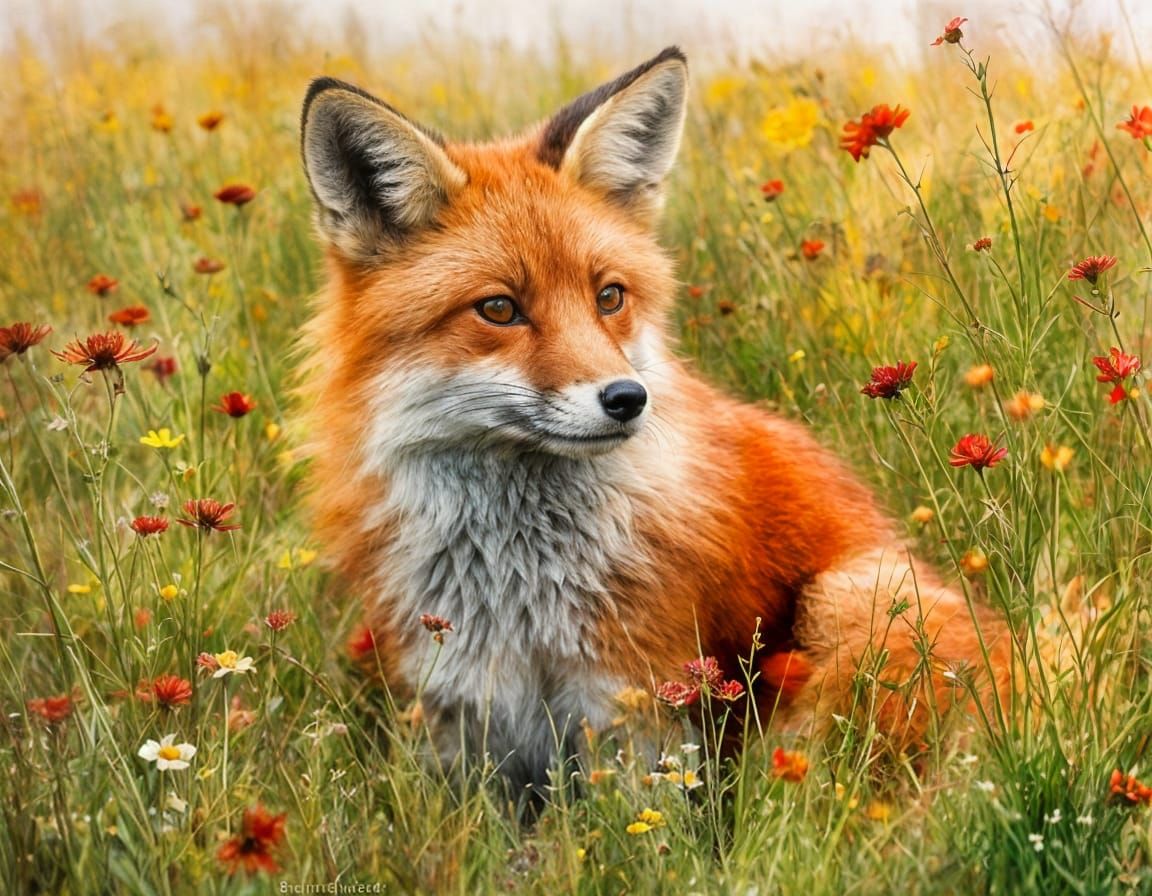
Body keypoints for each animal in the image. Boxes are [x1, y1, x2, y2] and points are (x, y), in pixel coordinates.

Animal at [297, 46, 1012, 798]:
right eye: (498, 309)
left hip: (850, 602)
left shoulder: (636, 705)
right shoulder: (461, 712)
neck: (519, 579)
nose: (627, 398)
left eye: (609, 296)